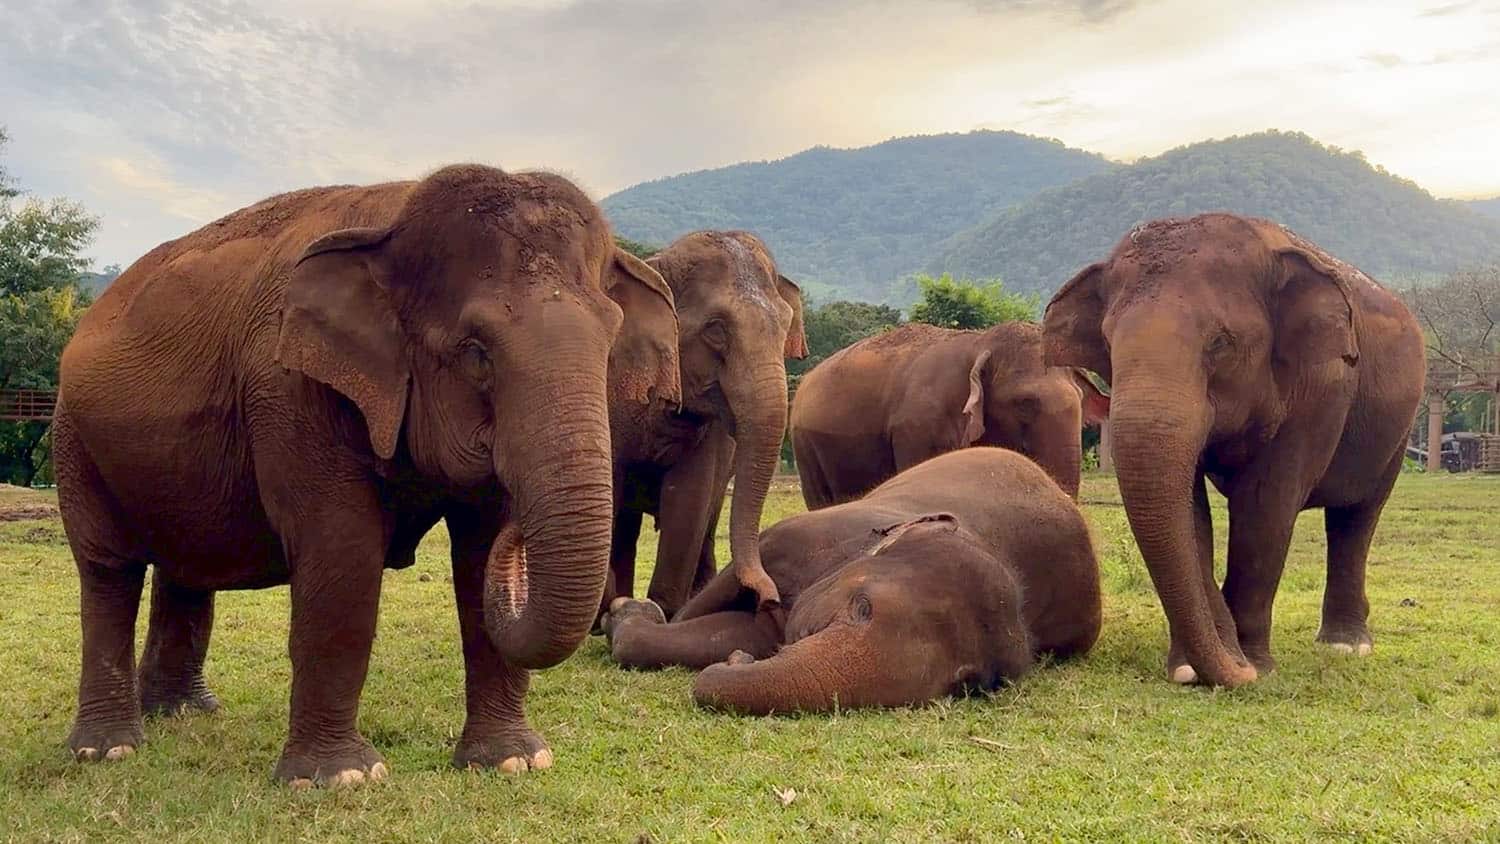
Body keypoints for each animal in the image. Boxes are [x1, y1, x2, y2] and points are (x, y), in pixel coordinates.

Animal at [52, 165, 680, 785]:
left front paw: (513, 761)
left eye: (609, 349)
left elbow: (478, 550)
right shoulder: (289, 389)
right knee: (108, 571)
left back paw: (183, 713)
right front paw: (341, 779)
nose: (521, 538)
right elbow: (342, 549)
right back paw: (108, 749)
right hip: (73, 441)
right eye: (476, 352)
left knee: (184, 568)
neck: (395, 217)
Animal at [602, 447, 1102, 714]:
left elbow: (742, 630)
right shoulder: (806, 536)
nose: (740, 661)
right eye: (861, 607)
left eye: (966, 684)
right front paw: (629, 613)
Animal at [1042, 213, 1425, 688]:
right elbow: (1191, 512)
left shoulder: (1321, 387)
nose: (1236, 665)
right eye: (1108, 345)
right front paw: (1190, 667)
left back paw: (1346, 646)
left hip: (1399, 428)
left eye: (1220, 343)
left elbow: (1265, 507)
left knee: (1357, 516)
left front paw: (1256, 665)